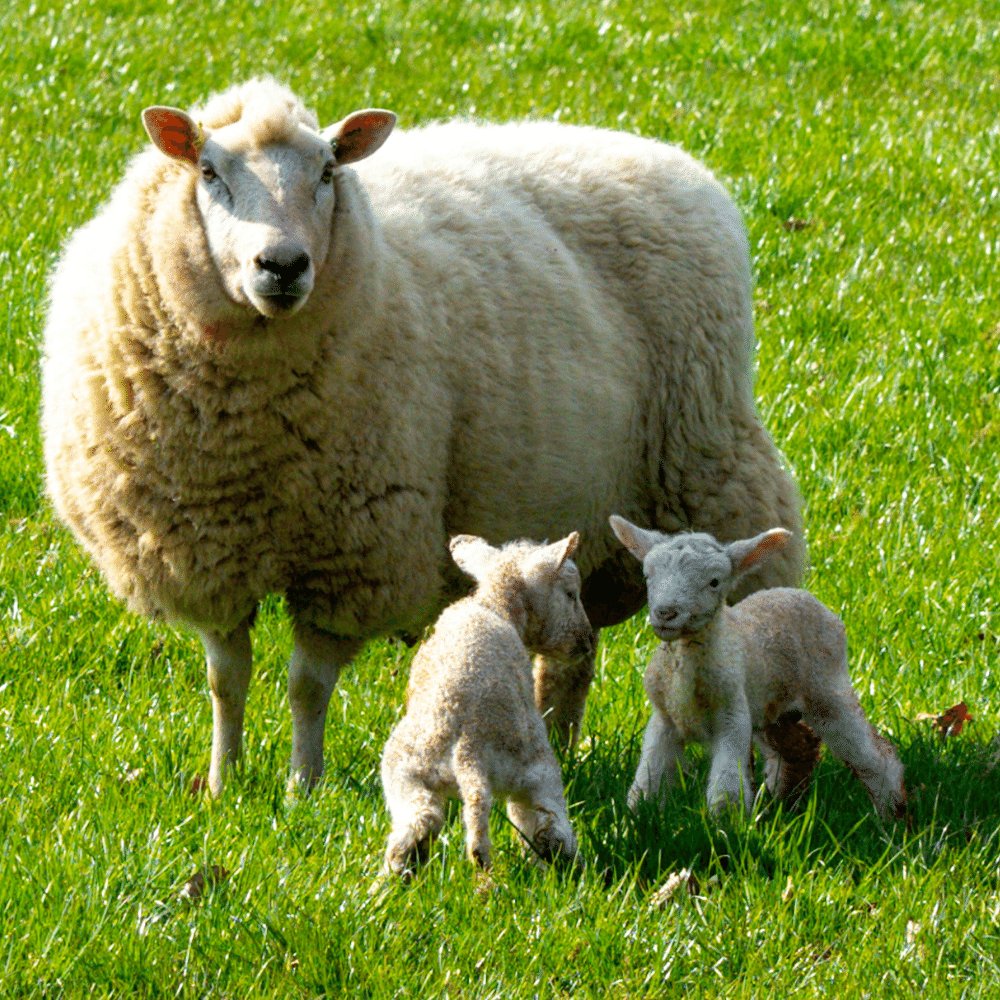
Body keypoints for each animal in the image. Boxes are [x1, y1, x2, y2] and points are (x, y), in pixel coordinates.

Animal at [43, 76, 804, 796]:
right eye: (208, 171)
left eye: (327, 171)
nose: (282, 266)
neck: (247, 438)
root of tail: (664, 156)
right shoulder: (206, 553)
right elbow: (225, 681)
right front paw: (225, 784)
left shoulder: (353, 556)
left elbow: (305, 686)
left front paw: (301, 787)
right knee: (573, 651)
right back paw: (555, 745)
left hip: (711, 466)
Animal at [378, 532, 588, 876]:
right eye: (571, 594)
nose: (586, 642)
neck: (493, 604)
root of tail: (470, 750)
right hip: (534, 770)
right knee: (547, 826)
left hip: (405, 770)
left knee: (420, 821)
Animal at [608, 516, 908, 820]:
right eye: (648, 576)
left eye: (714, 582)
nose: (666, 613)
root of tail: (800, 594)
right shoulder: (664, 720)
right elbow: (648, 779)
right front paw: (636, 816)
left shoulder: (732, 715)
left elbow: (727, 787)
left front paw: (726, 825)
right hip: (773, 708)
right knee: (798, 748)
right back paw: (785, 806)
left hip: (827, 690)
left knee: (872, 755)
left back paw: (892, 813)